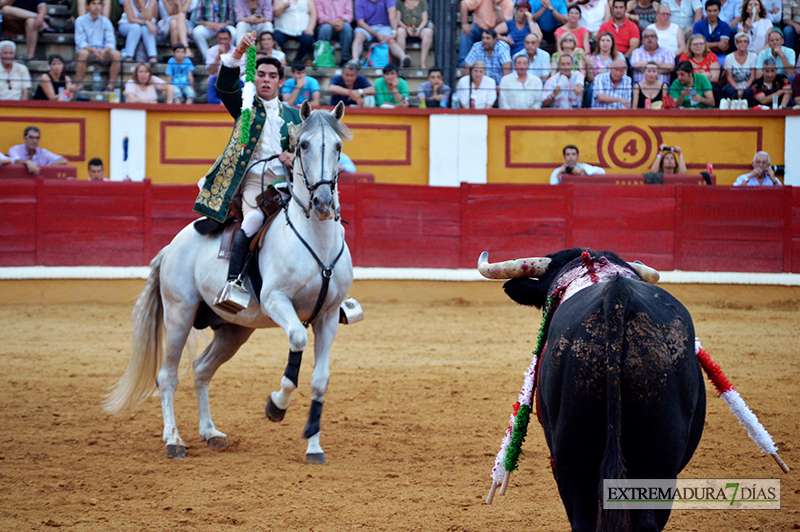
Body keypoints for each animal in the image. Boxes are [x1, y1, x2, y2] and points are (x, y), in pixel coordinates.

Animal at [103, 102, 354, 464]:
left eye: (338, 147)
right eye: (303, 144)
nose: (322, 202)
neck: (315, 239)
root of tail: (171, 247)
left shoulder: (329, 315)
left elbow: (320, 380)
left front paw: (314, 446)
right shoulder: (277, 301)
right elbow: (296, 340)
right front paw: (276, 406)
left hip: (234, 330)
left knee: (201, 369)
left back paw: (210, 433)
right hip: (179, 314)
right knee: (167, 376)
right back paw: (174, 440)